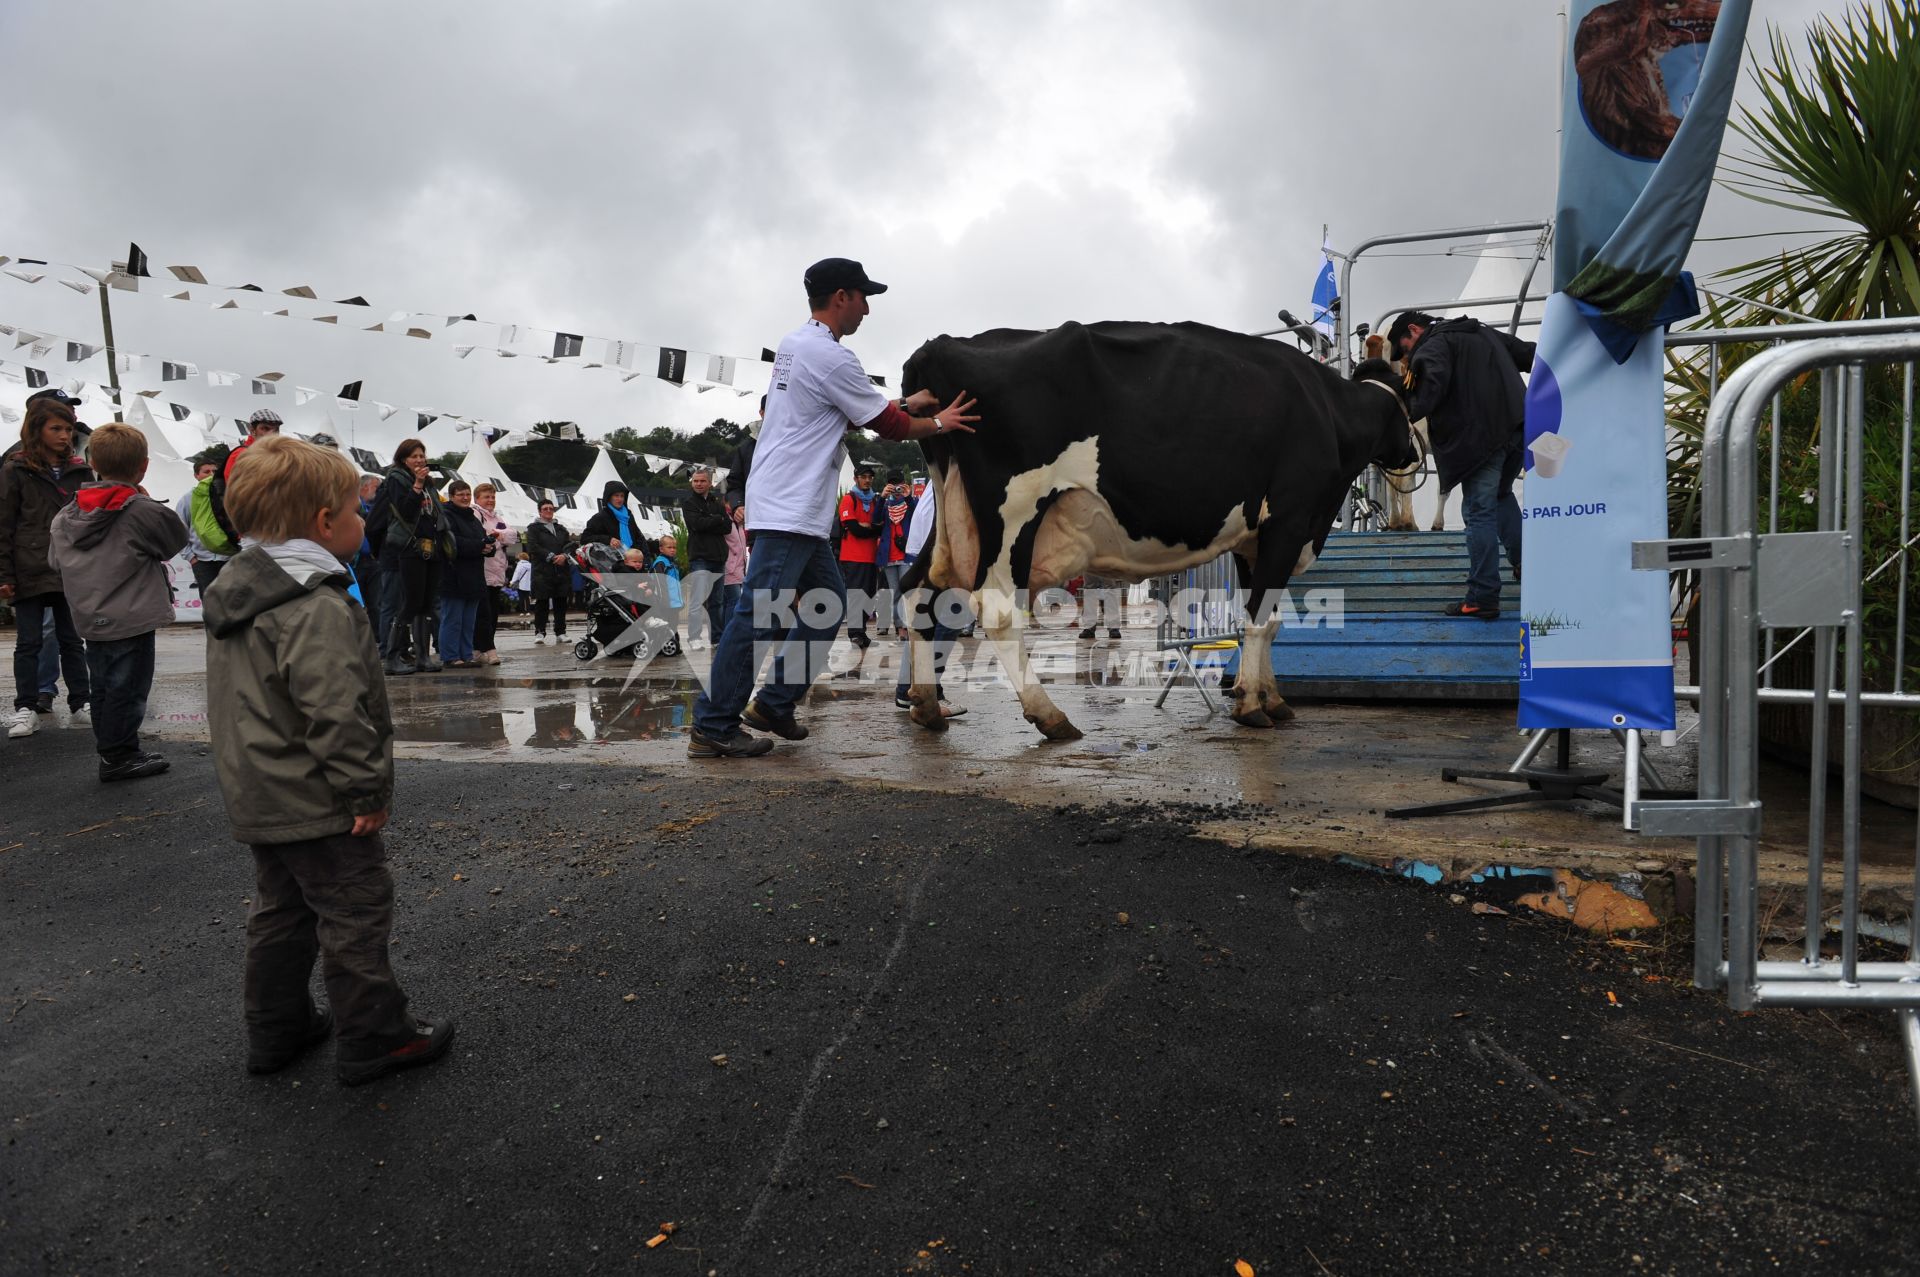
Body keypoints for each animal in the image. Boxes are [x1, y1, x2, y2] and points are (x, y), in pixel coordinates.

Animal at [894, 318, 1413, 737]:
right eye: (1408, 399)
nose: (1411, 453)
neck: (1328, 411)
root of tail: (937, 347)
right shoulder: (1289, 520)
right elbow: (1260, 618)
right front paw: (1251, 704)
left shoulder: (1253, 539)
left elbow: (1264, 619)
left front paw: (1272, 697)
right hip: (1014, 512)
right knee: (997, 609)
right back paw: (1051, 717)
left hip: (950, 511)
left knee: (920, 588)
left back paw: (927, 707)